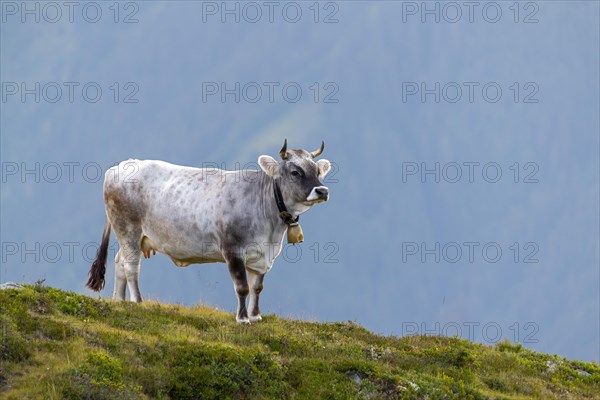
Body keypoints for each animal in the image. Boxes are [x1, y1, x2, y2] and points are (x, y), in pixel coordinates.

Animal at [85, 139, 330, 324]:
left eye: (317, 170)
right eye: (295, 172)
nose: (322, 190)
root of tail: (121, 166)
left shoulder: (263, 256)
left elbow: (257, 287)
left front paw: (256, 316)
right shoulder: (233, 250)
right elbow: (242, 287)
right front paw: (242, 319)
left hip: (134, 236)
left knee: (119, 262)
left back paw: (119, 301)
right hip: (128, 228)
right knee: (131, 266)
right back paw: (137, 301)